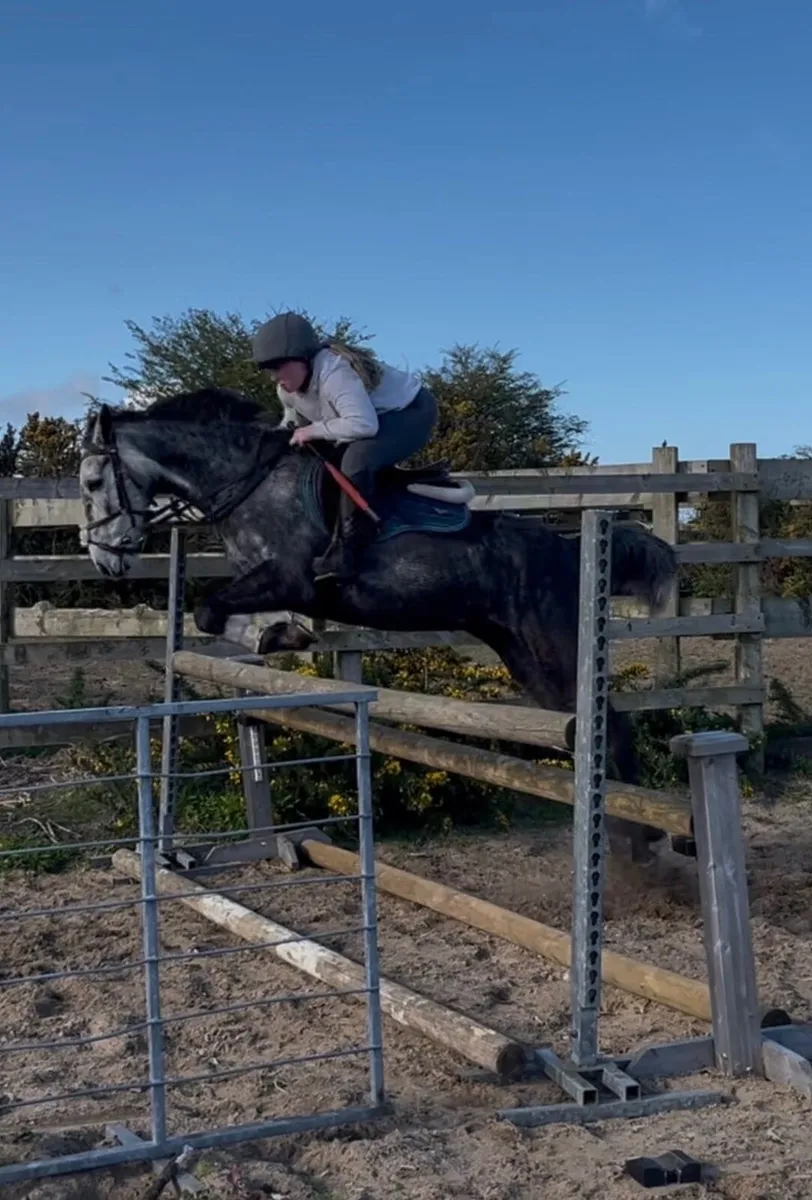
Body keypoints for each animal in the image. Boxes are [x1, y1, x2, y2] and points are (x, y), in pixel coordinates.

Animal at [78, 387, 679, 862]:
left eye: (90, 482)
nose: (104, 561)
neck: (248, 482)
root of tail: (571, 549)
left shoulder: (291, 578)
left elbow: (209, 609)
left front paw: (279, 633)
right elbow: (215, 616)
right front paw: (272, 636)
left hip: (552, 644)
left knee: (611, 726)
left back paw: (645, 840)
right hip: (525, 657)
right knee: (587, 727)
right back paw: (626, 835)